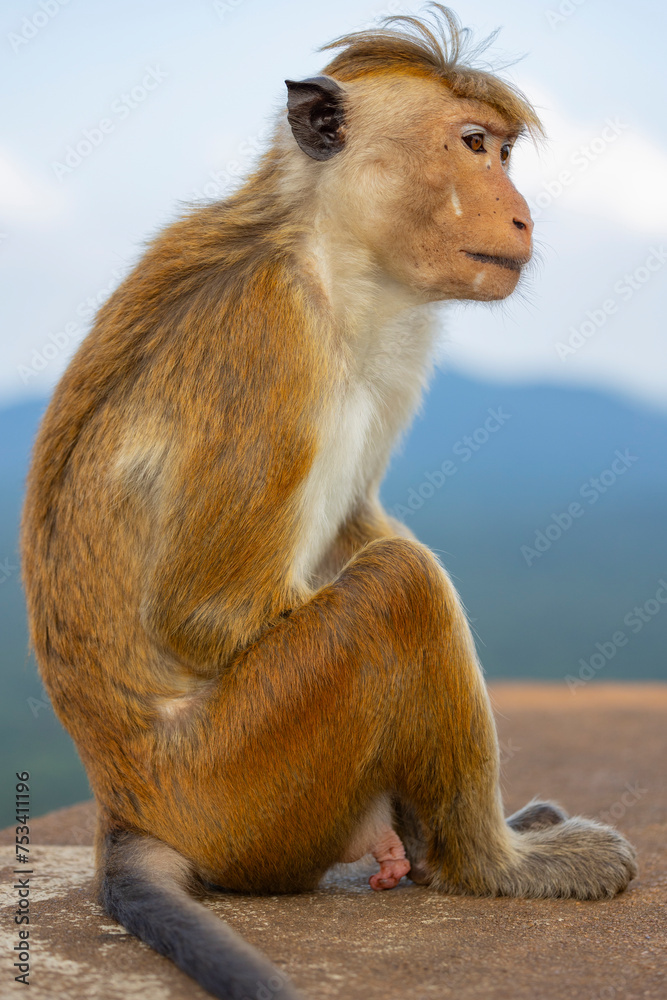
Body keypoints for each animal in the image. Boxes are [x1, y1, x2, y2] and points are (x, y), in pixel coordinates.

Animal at [20, 7, 637, 1000]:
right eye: (473, 146)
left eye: (502, 151)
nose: (520, 212)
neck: (327, 256)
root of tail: (126, 806)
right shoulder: (270, 331)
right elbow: (209, 611)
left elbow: (352, 527)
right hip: (241, 783)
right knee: (399, 590)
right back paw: (490, 862)